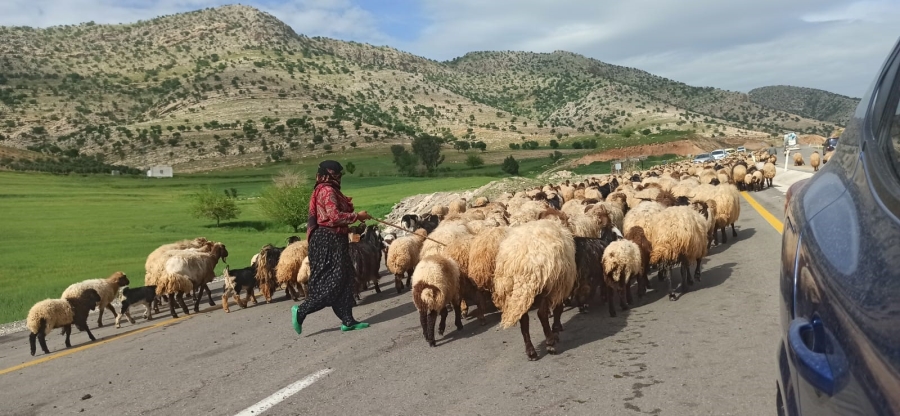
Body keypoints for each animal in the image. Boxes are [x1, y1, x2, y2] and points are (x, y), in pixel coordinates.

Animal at [492, 219, 576, 360]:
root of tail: (524, 263)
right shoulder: (558, 288)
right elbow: (558, 309)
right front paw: (556, 330)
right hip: (544, 287)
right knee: (541, 314)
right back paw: (550, 343)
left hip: (516, 291)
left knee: (524, 320)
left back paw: (530, 351)